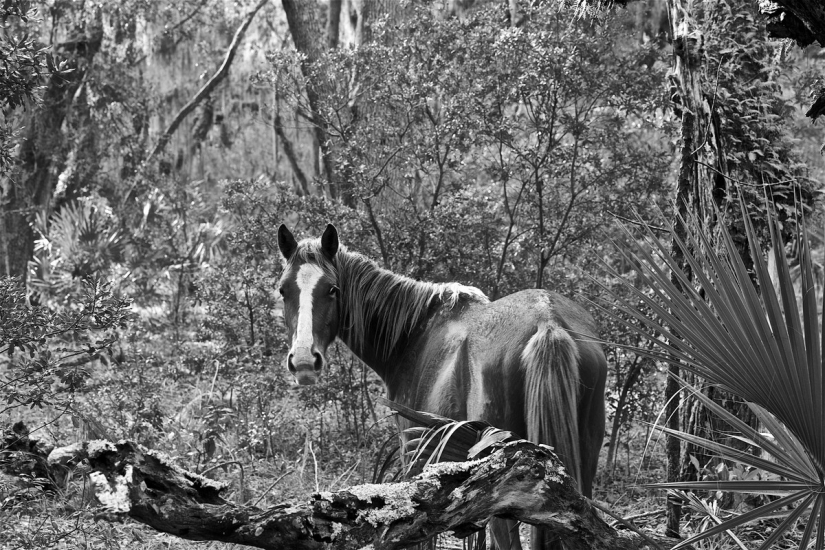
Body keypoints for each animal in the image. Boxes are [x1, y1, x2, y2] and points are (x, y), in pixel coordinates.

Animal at [276, 223, 607, 550]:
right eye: (283, 290)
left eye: (332, 289)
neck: (412, 333)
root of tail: (547, 320)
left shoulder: (414, 453)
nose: (304, 361)